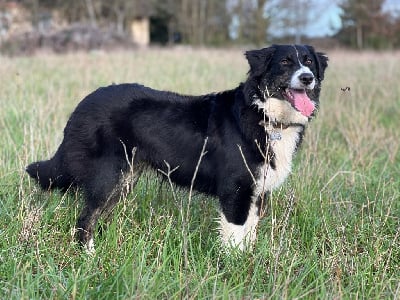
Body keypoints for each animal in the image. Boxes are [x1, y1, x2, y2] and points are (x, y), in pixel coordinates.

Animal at [27, 44, 328, 251]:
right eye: (285, 62)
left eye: (309, 63)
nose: (307, 78)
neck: (265, 115)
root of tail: (84, 103)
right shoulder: (236, 190)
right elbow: (234, 237)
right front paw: (234, 269)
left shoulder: (257, 193)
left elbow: (249, 236)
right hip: (108, 175)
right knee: (85, 219)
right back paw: (89, 256)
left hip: (124, 179)